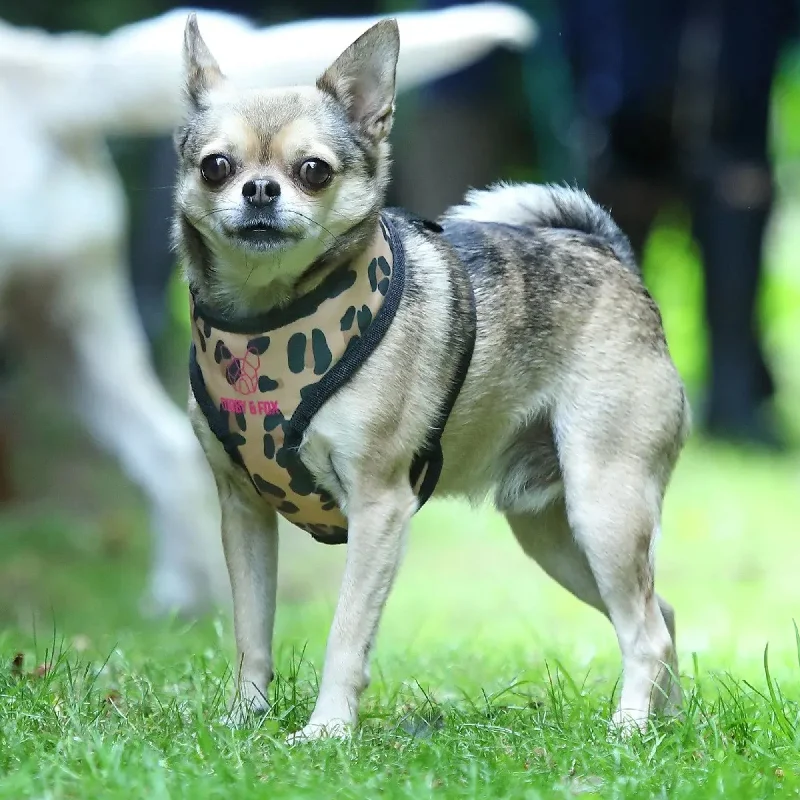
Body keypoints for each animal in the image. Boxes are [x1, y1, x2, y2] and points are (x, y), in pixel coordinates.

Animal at [173, 14, 688, 744]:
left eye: (313, 171)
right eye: (216, 166)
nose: (261, 189)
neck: (267, 315)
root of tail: (611, 255)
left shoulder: (379, 510)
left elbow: (346, 634)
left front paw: (327, 731)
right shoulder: (244, 512)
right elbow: (252, 630)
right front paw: (245, 720)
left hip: (604, 510)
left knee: (645, 629)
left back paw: (630, 728)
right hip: (554, 535)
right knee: (659, 613)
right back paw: (666, 727)